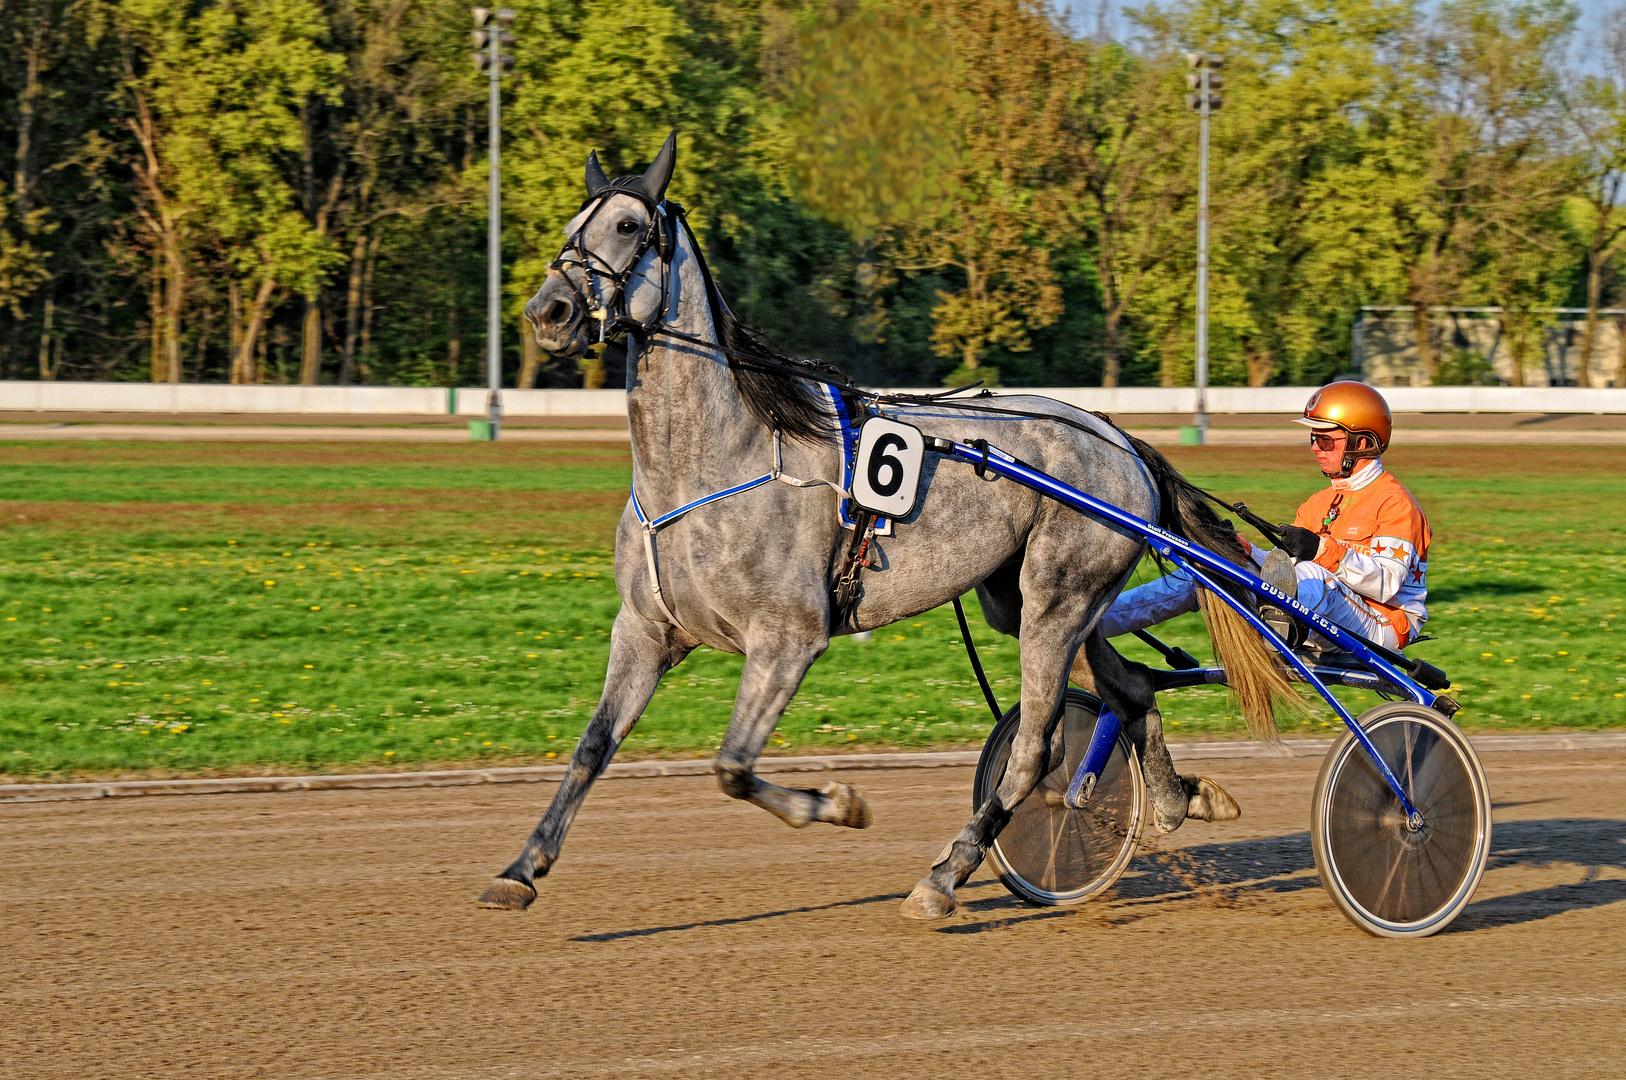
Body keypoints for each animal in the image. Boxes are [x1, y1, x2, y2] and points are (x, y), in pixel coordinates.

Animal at [474, 135, 1287, 917]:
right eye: (569, 226)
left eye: (627, 226)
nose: (547, 312)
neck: (709, 463)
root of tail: (1117, 437)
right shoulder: (644, 629)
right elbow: (591, 748)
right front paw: (520, 870)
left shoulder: (787, 640)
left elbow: (732, 768)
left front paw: (840, 803)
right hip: (1030, 601)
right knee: (1131, 690)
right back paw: (1179, 800)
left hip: (1060, 600)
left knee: (1035, 745)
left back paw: (947, 875)